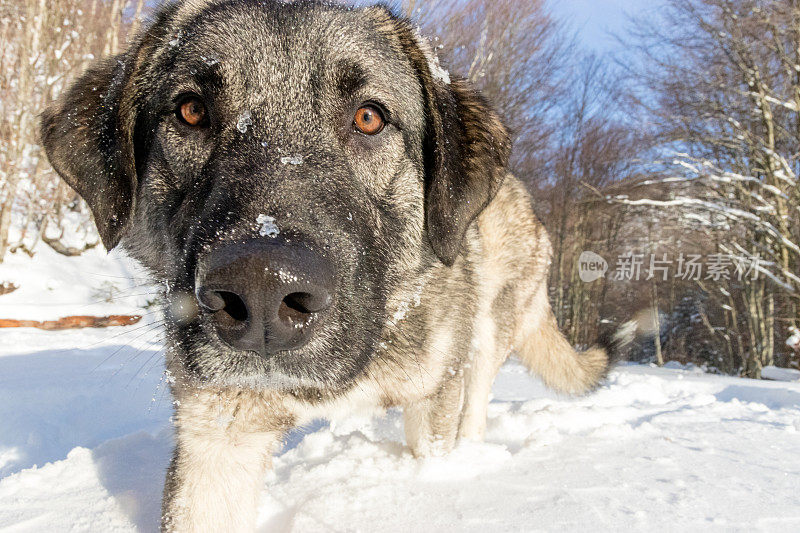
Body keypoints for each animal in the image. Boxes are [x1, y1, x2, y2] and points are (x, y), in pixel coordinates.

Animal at [42, 2, 632, 528]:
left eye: (369, 117)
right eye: (191, 111)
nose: (262, 291)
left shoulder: (435, 394)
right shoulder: (218, 435)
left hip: (488, 334)